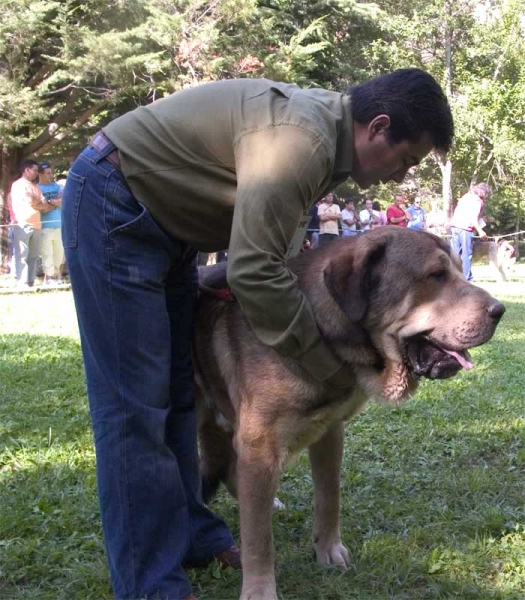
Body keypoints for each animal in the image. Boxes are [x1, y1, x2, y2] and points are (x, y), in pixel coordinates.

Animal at [192, 226, 504, 600]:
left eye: (458, 270)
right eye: (436, 276)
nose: (500, 310)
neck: (314, 330)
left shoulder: (330, 431)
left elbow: (329, 496)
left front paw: (328, 550)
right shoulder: (258, 447)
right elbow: (258, 539)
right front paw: (259, 591)